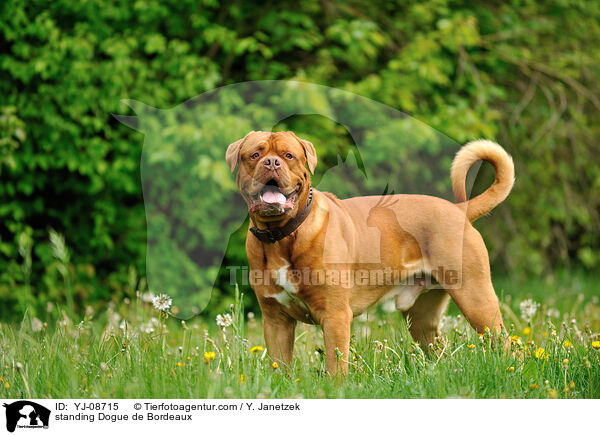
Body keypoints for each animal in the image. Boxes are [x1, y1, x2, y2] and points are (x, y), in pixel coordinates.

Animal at [227, 130, 512, 374]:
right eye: (254, 154)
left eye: (288, 155)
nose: (271, 163)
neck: (282, 237)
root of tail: (459, 209)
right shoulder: (276, 320)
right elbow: (279, 369)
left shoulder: (335, 316)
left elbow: (336, 368)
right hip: (422, 315)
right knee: (437, 349)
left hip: (476, 297)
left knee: (507, 344)